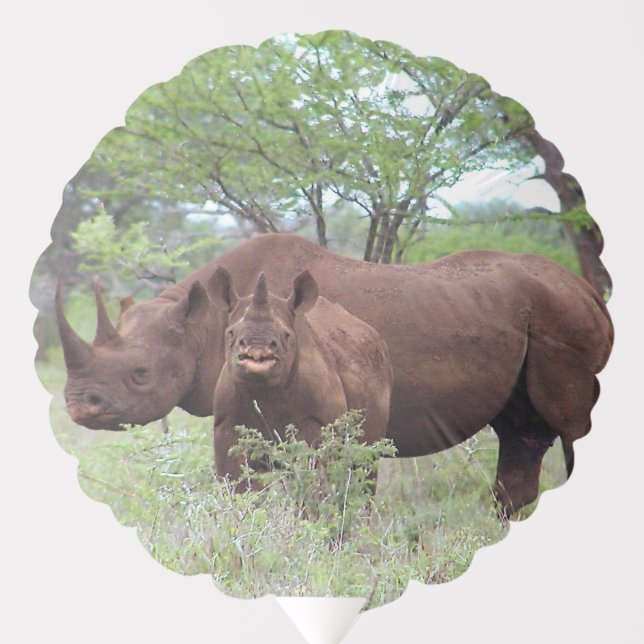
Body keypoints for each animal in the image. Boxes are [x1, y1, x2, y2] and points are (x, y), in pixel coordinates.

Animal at [207, 268, 392, 480]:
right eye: (230, 332)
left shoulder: (317, 422)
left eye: (286, 335)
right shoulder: (226, 424)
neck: (264, 390)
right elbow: (237, 478)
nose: (257, 348)